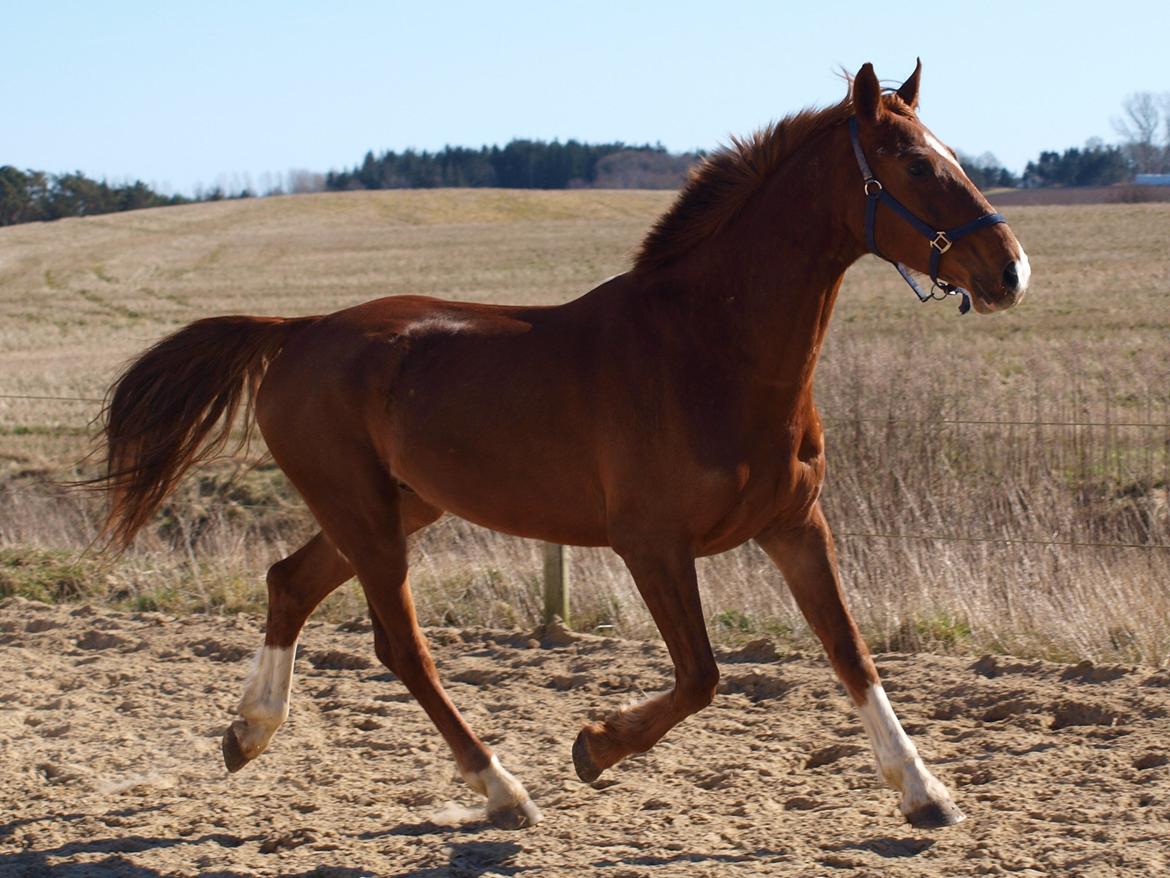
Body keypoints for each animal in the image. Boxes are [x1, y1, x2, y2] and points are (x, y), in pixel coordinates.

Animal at [93, 63, 1024, 833]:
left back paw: (248, 734)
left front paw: (926, 793)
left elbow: (850, 654)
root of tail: (297, 331)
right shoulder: (651, 544)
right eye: (915, 167)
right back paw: (503, 790)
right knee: (401, 647)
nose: (1010, 270)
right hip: (365, 515)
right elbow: (702, 676)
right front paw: (592, 747)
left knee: (291, 583)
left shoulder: (795, 526)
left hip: (396, 505)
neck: (712, 352)